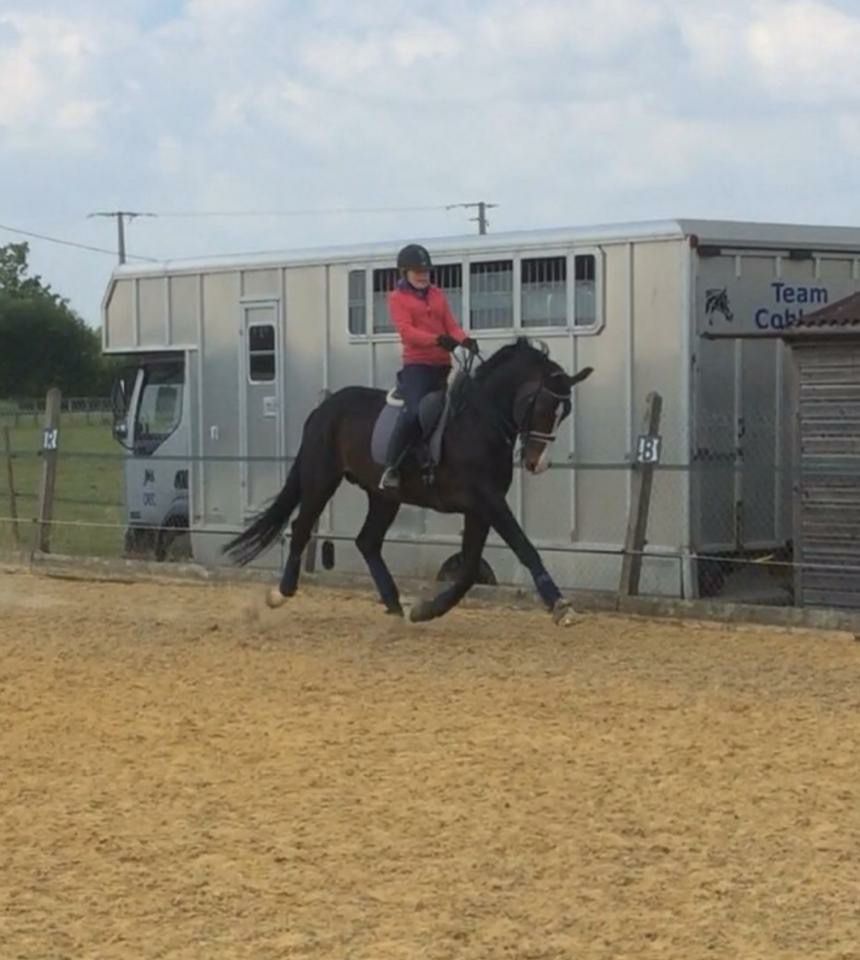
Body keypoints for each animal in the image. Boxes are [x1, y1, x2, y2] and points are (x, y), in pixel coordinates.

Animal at [222, 337, 594, 624]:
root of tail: (323, 409)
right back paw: (280, 593)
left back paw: (395, 605)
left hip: (384, 496)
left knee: (367, 541)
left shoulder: (480, 508)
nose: (537, 463)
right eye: (540, 405)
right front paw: (561, 606)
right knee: (302, 526)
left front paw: (428, 610)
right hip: (322, 478)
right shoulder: (487, 500)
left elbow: (470, 569)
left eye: (565, 413)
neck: (479, 422)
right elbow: (523, 547)